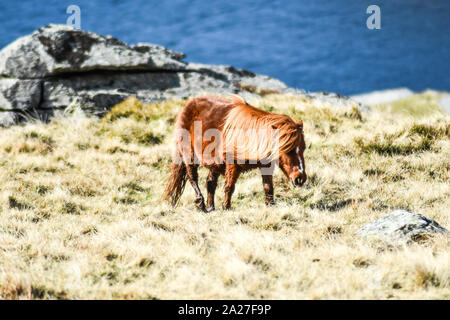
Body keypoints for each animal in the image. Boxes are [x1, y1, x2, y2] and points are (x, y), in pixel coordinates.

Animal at [163, 94, 308, 211]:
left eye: (303, 148)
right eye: (288, 150)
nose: (300, 178)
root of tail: (188, 105)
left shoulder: (266, 166)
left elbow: (268, 187)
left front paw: (271, 206)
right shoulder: (232, 165)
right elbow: (230, 187)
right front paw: (226, 208)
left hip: (214, 163)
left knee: (210, 182)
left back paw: (211, 208)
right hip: (189, 154)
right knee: (193, 177)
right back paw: (200, 204)